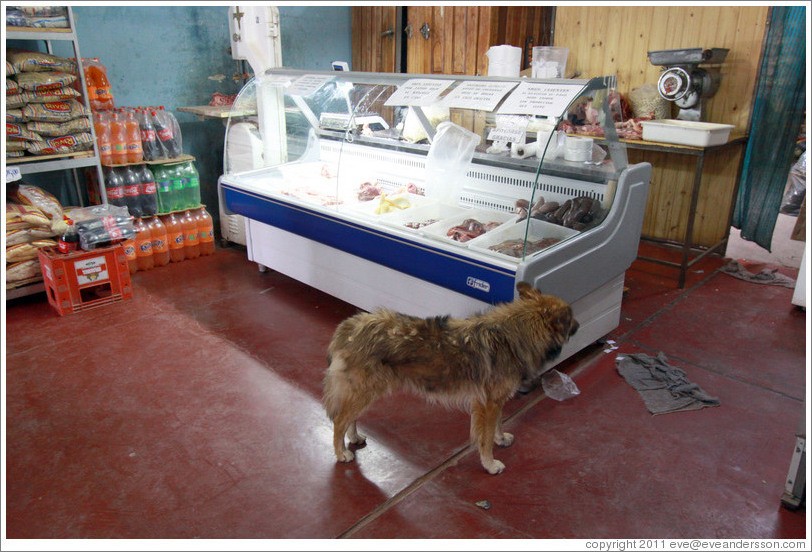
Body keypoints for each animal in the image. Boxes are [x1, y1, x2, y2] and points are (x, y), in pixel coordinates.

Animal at [322, 282, 576, 472]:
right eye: (571, 318)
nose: (579, 324)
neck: (513, 334)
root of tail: (351, 324)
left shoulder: (495, 401)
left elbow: (498, 424)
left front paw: (501, 439)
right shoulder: (487, 404)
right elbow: (485, 438)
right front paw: (490, 464)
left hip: (363, 393)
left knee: (350, 418)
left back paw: (354, 438)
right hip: (365, 392)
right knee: (339, 421)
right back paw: (341, 452)